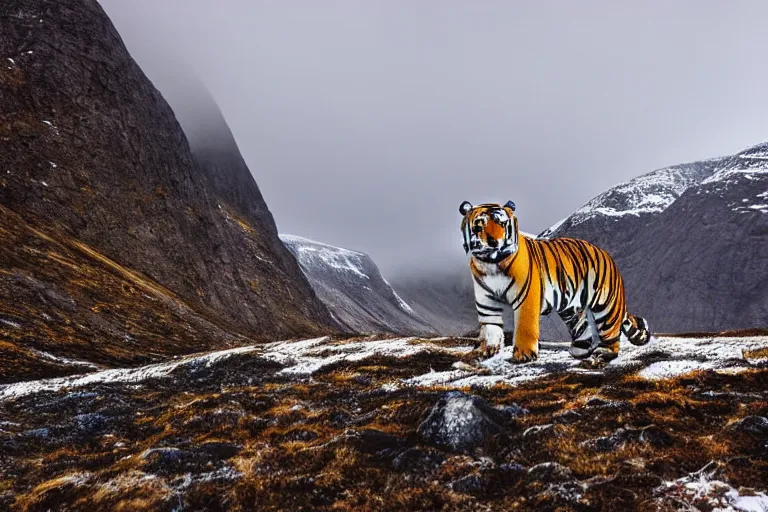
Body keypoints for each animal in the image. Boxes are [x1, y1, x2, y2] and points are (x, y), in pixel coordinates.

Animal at [460, 200, 652, 364]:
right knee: (582, 326)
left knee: (610, 331)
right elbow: (490, 327)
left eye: (502, 223)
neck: (491, 264)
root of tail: (604, 253)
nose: (494, 242)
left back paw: (604, 352)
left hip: (605, 304)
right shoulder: (487, 303)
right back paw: (580, 350)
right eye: (478, 226)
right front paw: (486, 351)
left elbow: (524, 327)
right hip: (570, 308)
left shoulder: (526, 298)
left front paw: (523, 355)